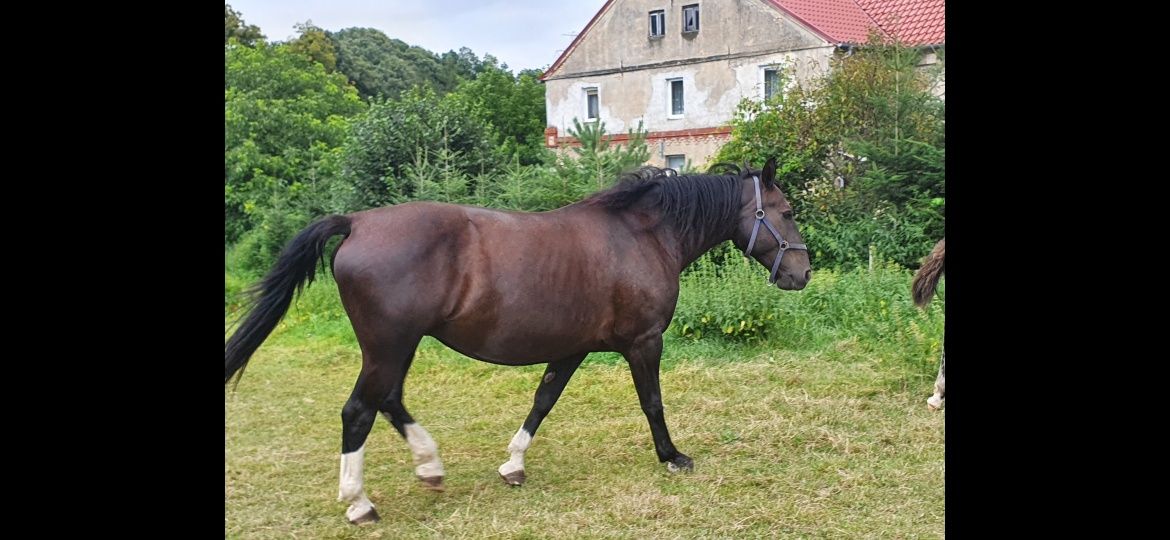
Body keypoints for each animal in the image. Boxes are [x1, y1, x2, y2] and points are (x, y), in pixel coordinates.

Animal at [228, 157, 814, 525]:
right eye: (786, 212)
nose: (802, 274)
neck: (642, 236)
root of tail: (356, 223)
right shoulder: (644, 342)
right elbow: (652, 402)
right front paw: (672, 457)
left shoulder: (573, 347)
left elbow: (544, 399)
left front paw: (513, 464)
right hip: (389, 346)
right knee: (358, 412)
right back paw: (359, 503)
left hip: (398, 347)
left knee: (388, 401)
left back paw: (430, 468)